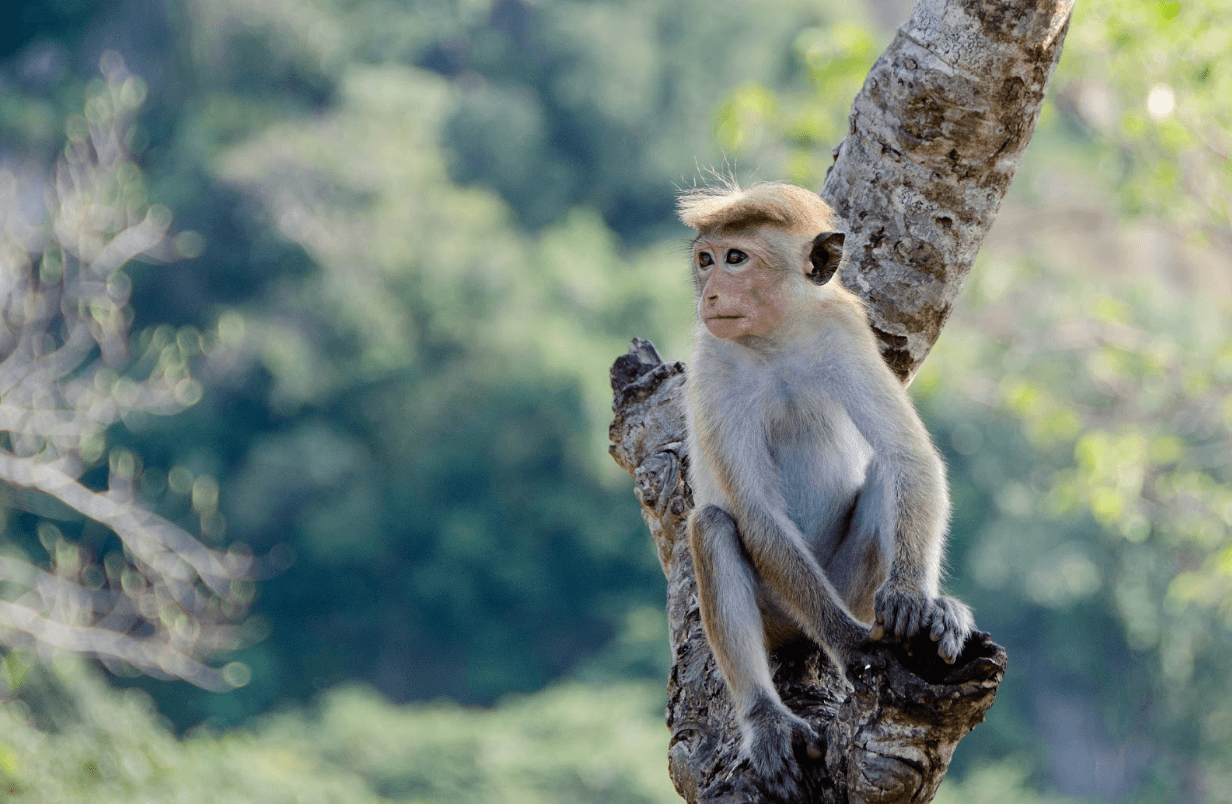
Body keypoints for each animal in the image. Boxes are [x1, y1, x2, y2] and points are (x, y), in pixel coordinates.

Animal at [680, 179, 975, 787]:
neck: (775, 340)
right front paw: (852, 644)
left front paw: (915, 599)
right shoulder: (712, 366)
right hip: (782, 610)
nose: (712, 294)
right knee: (714, 525)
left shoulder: (844, 333)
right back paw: (767, 718)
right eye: (705, 260)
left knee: (885, 472)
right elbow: (756, 512)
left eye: (735, 258)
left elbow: (907, 455)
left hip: (851, 584)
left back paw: (932, 609)